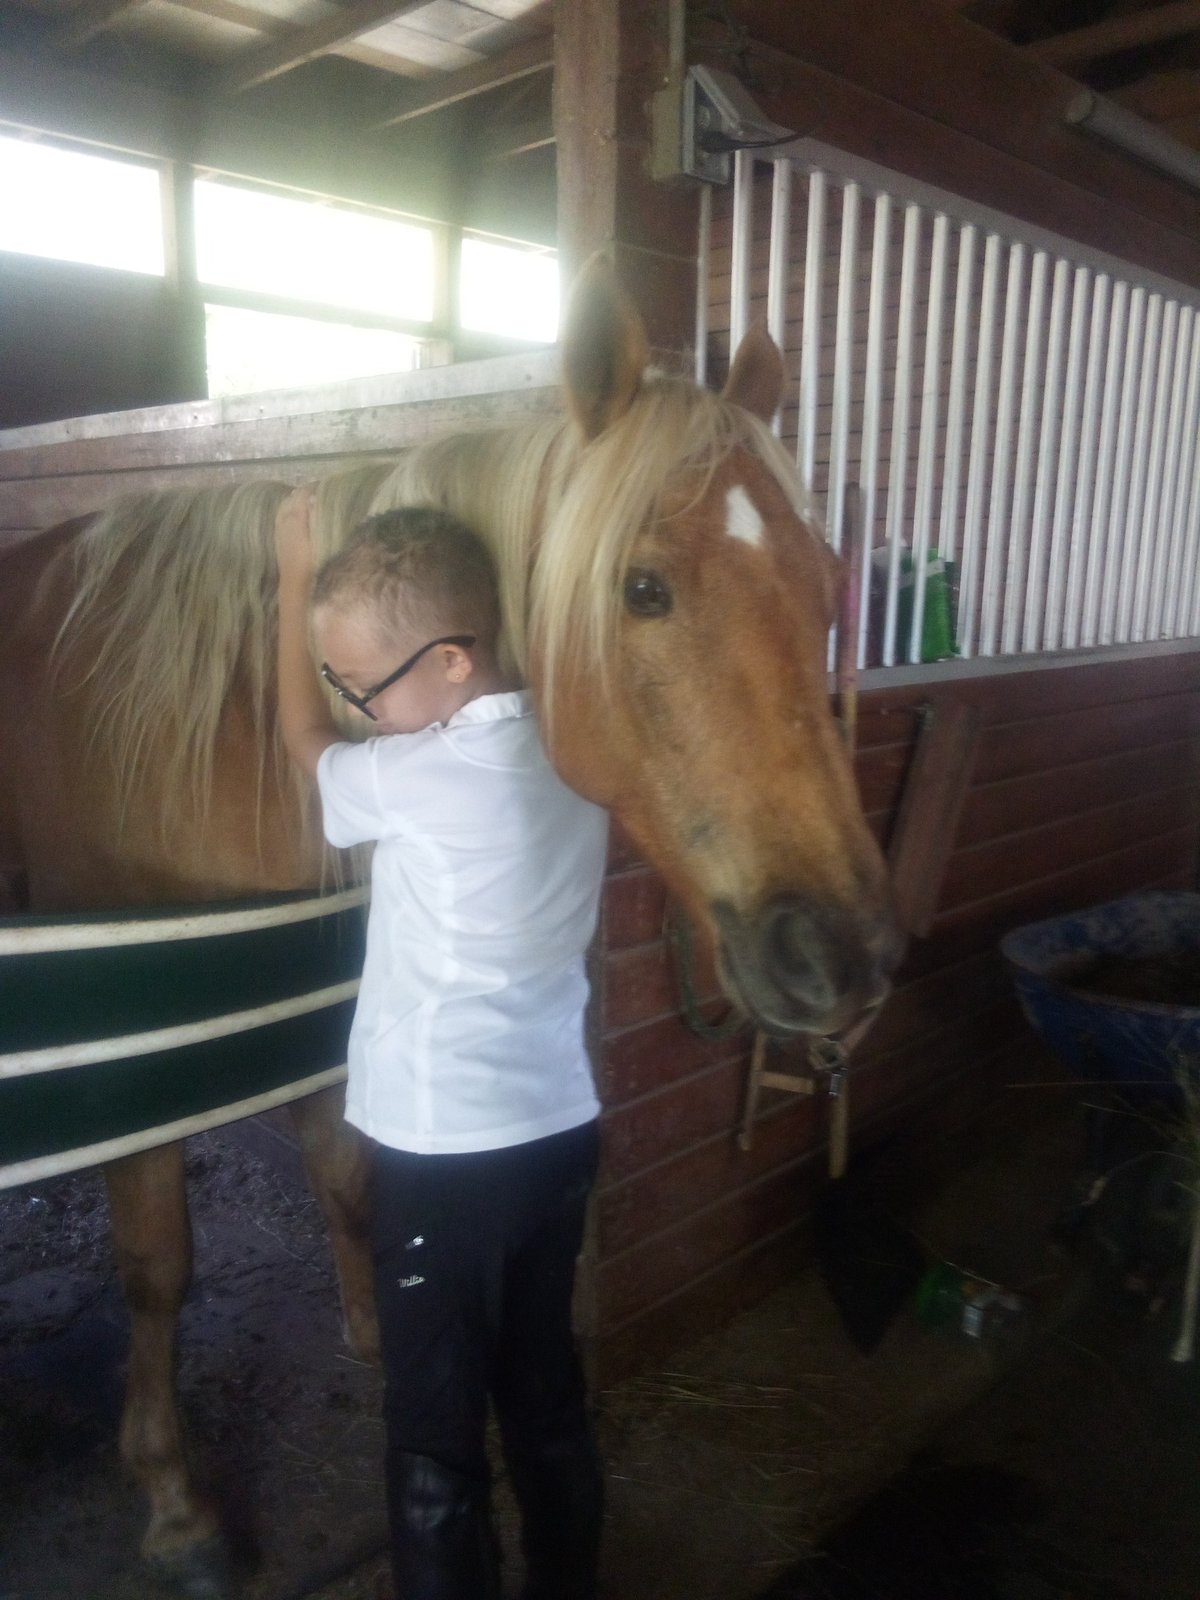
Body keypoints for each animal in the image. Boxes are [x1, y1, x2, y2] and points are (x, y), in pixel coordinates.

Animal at [0, 256, 896, 1596]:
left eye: (821, 578)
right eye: (642, 587)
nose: (842, 952)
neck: (210, 735)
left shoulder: (309, 1010)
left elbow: (348, 1180)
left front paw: (374, 1337)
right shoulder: (139, 1068)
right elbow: (159, 1270)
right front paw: (175, 1504)